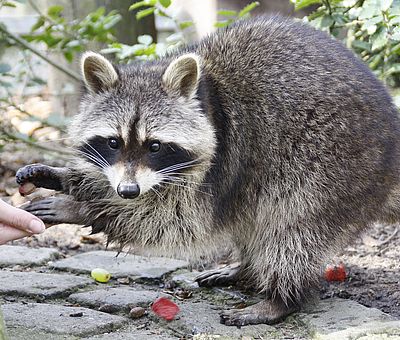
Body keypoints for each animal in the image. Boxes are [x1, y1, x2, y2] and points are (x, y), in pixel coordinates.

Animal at [17, 16, 400, 326]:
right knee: (256, 218)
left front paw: (82, 207)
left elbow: (176, 221)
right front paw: (71, 181)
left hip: (335, 165)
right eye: (113, 142)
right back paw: (247, 267)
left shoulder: (223, 161)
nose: (127, 192)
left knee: (293, 228)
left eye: (154, 146)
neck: (206, 96)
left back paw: (282, 298)